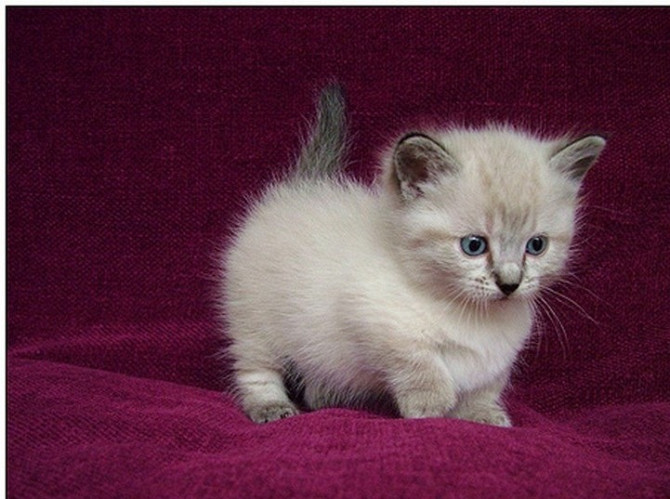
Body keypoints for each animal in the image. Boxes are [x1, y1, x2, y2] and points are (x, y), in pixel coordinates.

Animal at [219, 85, 604, 426]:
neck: (473, 316)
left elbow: (485, 387)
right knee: (256, 368)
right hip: (254, 323)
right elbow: (420, 364)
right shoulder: (372, 320)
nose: (510, 283)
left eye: (536, 246)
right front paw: (430, 407)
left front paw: (483, 415)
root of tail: (297, 188)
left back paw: (325, 397)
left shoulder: (496, 359)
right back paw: (271, 407)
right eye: (473, 245)